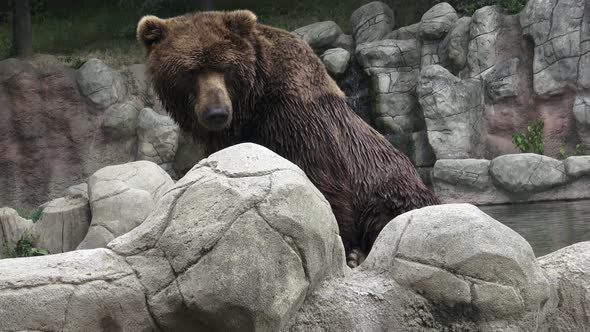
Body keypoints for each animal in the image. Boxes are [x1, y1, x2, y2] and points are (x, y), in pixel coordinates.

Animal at [135, 10, 440, 268]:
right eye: (190, 71)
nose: (216, 112)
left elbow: (322, 179)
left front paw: (341, 247)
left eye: (226, 67)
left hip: (388, 185)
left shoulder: (296, 118)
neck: (252, 105)